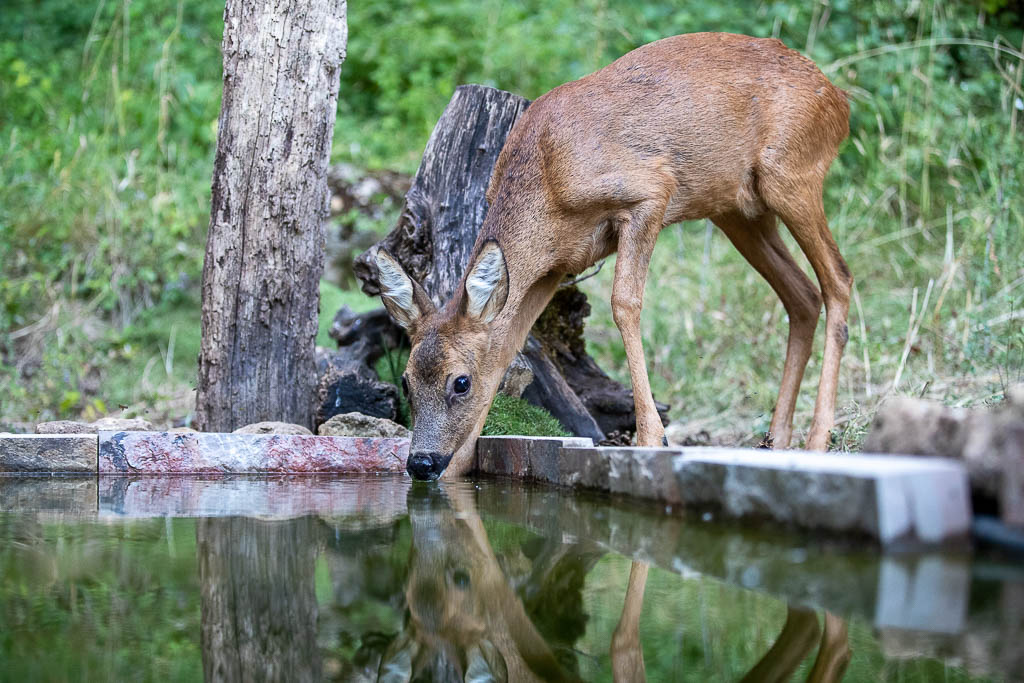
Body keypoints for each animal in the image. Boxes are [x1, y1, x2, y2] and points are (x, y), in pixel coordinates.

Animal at [372, 33, 851, 481]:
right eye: (406, 382)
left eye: (460, 382)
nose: (422, 463)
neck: (545, 180)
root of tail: (839, 99)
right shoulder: (555, 265)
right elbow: (509, 346)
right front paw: (458, 468)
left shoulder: (649, 193)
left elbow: (624, 303)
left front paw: (652, 437)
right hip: (737, 210)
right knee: (803, 295)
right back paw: (777, 438)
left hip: (792, 173)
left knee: (838, 278)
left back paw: (817, 439)